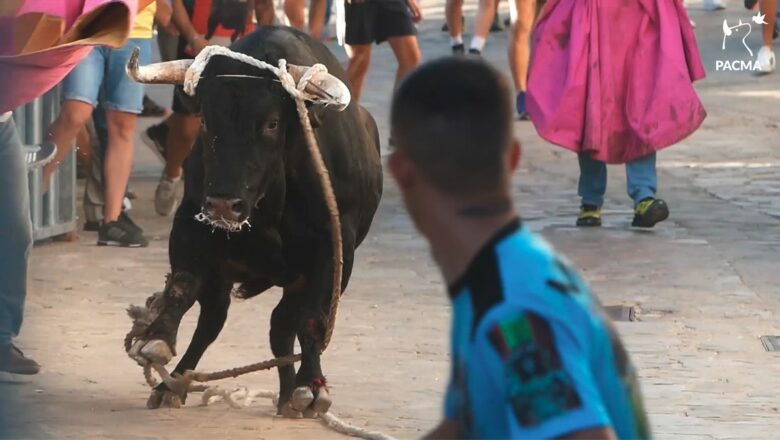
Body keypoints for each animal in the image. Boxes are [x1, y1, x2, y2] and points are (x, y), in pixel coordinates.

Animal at [124, 46, 394, 438]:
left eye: (272, 123)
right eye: (205, 121)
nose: (224, 204)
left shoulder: (333, 249)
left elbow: (311, 320)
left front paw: (311, 386)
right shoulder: (190, 221)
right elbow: (181, 286)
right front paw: (158, 338)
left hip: (298, 279)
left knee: (281, 326)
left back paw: (291, 395)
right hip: (221, 274)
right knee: (214, 322)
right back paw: (173, 383)